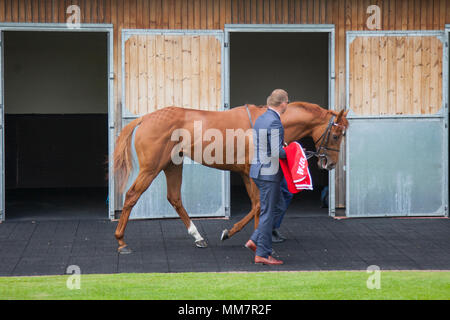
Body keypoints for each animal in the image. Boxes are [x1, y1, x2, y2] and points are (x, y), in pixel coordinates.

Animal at [112, 102, 348, 252]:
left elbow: (257, 205)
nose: (330, 163)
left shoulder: (246, 174)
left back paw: (198, 237)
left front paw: (241, 235)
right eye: (337, 135)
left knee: (174, 198)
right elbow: (259, 205)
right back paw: (121, 242)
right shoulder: (252, 173)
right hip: (151, 167)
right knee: (132, 195)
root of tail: (145, 118)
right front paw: (248, 239)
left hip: (172, 165)